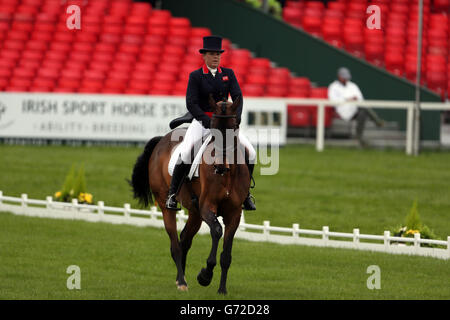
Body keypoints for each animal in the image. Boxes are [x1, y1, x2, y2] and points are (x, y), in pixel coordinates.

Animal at [129, 95, 250, 296]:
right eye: (213, 128)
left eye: (233, 127)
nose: (220, 166)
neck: (227, 173)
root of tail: (162, 139)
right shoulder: (207, 207)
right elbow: (217, 231)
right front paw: (205, 275)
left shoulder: (234, 213)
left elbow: (226, 254)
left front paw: (222, 289)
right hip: (167, 206)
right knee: (175, 244)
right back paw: (181, 281)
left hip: (195, 213)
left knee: (184, 240)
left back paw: (182, 278)